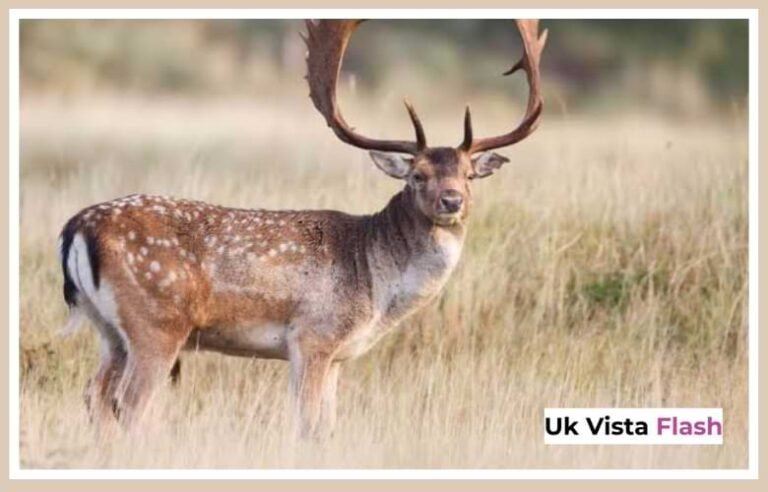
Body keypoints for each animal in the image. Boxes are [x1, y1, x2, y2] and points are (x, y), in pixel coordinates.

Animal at [58, 19, 547, 439]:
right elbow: (308, 425)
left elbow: (327, 427)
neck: (375, 285)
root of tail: (77, 226)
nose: (451, 201)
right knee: (129, 404)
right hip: (157, 322)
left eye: (469, 174)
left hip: (109, 330)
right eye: (417, 176)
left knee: (94, 396)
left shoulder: (338, 357)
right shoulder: (314, 336)